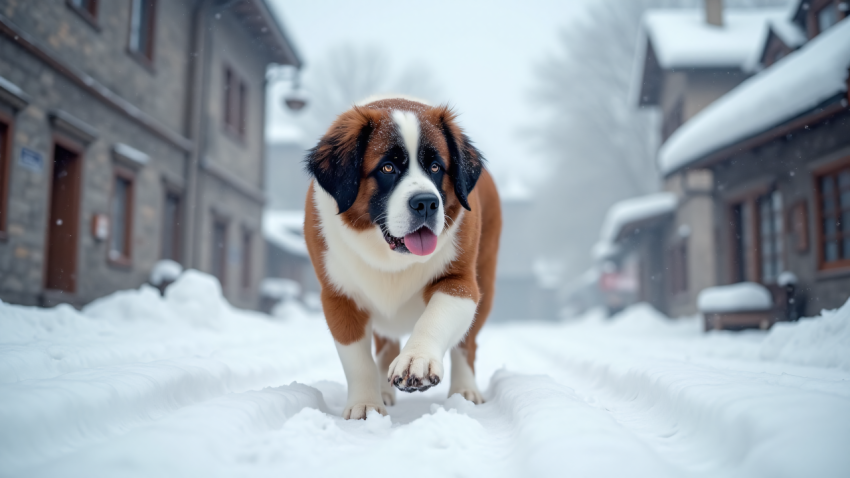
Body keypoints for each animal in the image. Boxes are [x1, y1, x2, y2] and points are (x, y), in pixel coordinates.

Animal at [304, 97, 500, 418]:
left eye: (435, 166)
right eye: (387, 167)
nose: (426, 203)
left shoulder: (459, 281)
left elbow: (435, 317)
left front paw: (416, 360)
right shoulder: (339, 296)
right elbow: (356, 359)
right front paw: (366, 405)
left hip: (485, 280)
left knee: (466, 344)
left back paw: (464, 390)